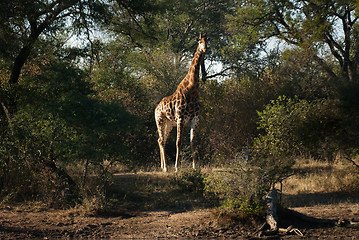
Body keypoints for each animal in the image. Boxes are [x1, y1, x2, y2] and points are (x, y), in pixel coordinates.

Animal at [155, 33, 208, 172]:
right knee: (161, 140)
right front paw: (177, 167)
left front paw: (195, 167)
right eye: (199, 41)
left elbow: (193, 143)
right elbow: (178, 142)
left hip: (169, 124)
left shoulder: (195, 119)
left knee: (161, 140)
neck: (192, 91)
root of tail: (156, 108)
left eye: (207, 40)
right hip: (160, 120)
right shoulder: (181, 119)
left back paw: (163, 166)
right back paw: (166, 168)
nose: (205, 49)